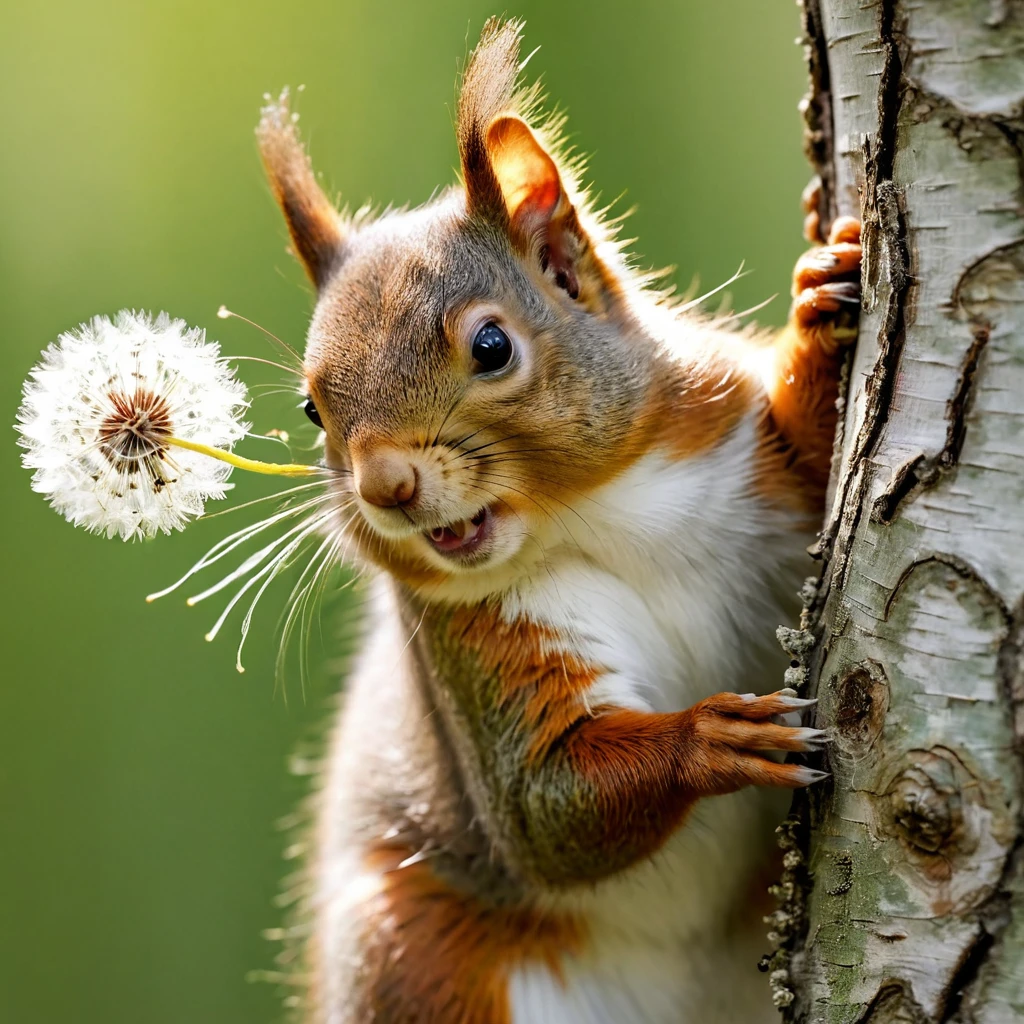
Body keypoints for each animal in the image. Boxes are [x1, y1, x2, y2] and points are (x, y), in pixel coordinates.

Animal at [253, 16, 856, 1024]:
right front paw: (713, 739)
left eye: (492, 346)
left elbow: (810, 447)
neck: (594, 516)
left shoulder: (742, 444)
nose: (385, 486)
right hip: (411, 957)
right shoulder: (472, 651)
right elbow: (548, 806)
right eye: (310, 409)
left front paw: (826, 305)